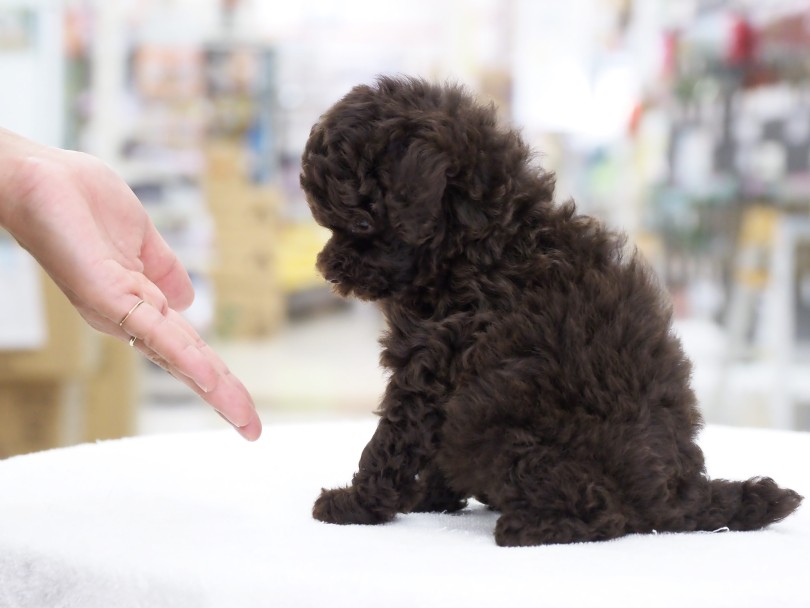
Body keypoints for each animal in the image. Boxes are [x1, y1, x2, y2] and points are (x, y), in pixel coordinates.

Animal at [296, 76, 796, 548]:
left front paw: (354, 504)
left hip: (494, 425)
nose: (326, 269)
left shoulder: (433, 369)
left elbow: (390, 443)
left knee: (605, 514)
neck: (479, 241)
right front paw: (429, 497)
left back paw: (527, 528)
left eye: (361, 222)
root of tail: (680, 494)